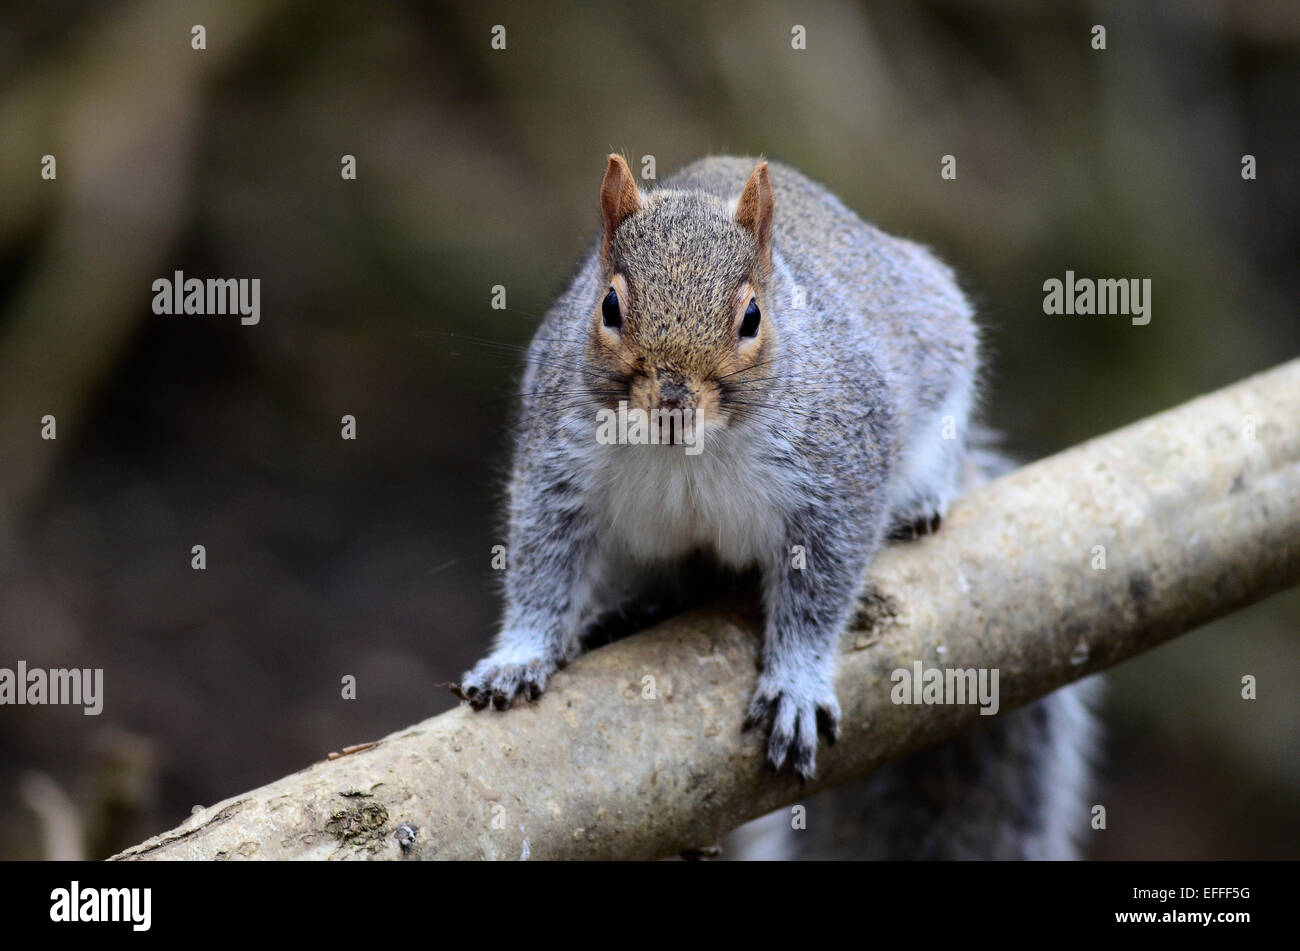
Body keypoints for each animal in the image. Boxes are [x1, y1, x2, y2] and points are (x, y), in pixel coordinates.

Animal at [454, 157, 1097, 862]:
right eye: (609, 307)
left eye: (752, 318)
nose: (673, 403)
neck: (689, 453)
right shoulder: (558, 465)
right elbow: (542, 564)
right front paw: (520, 657)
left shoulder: (839, 474)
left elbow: (822, 589)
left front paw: (797, 683)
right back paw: (631, 611)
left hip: (939, 352)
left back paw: (924, 499)